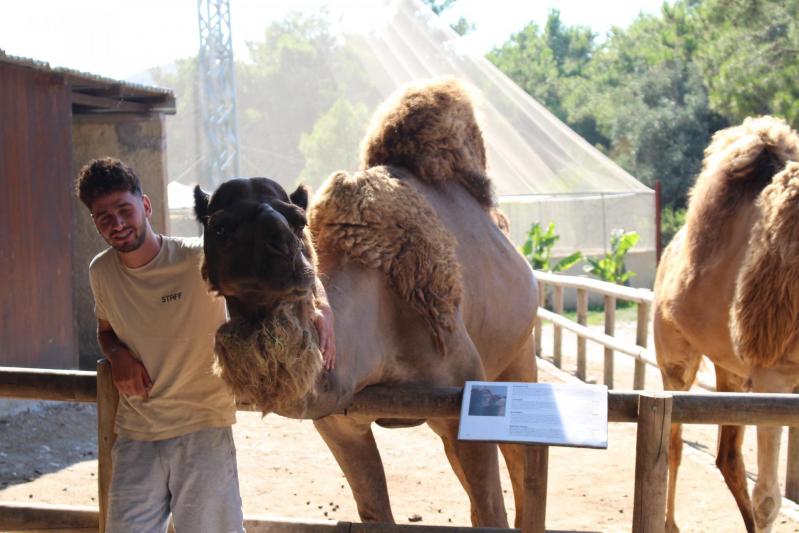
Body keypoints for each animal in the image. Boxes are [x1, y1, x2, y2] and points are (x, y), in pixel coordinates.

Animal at [193, 79, 536, 528]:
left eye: (298, 220)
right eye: (218, 226)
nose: (278, 245)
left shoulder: (463, 397)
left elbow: (491, 512)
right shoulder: (341, 421)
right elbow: (375, 512)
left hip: (520, 354)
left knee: (527, 468)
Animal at [652, 117, 799, 532]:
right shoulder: (773, 376)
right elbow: (769, 498)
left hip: (732, 371)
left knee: (728, 455)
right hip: (675, 357)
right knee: (674, 438)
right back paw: (669, 523)